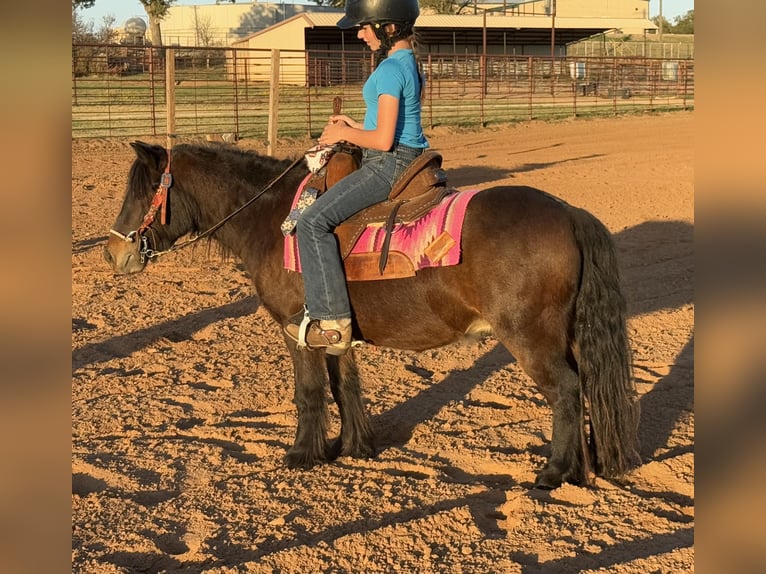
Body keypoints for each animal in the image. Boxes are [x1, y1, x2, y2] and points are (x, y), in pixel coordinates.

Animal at [104, 140, 640, 490]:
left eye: (141, 192)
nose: (113, 254)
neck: (274, 221)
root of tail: (568, 213)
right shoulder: (330, 330)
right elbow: (344, 385)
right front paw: (355, 446)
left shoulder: (295, 329)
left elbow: (309, 391)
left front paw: (302, 455)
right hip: (563, 336)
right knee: (586, 385)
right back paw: (584, 466)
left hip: (531, 338)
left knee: (566, 391)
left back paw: (555, 473)